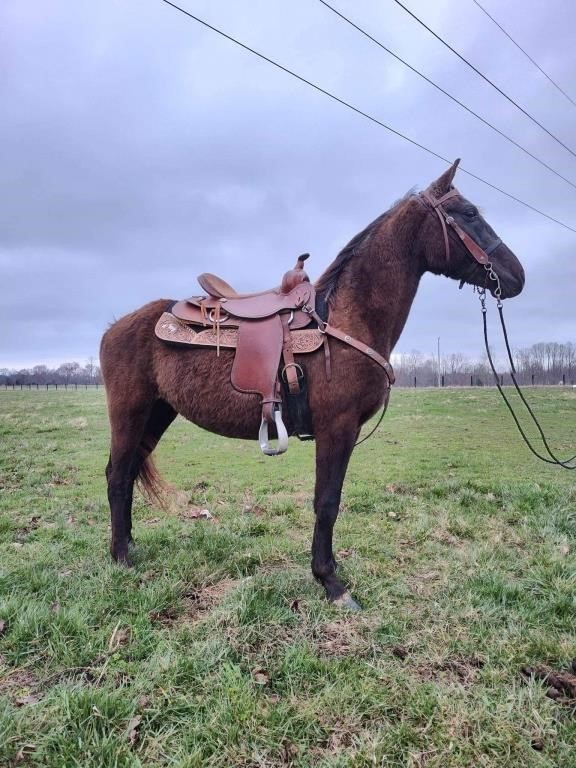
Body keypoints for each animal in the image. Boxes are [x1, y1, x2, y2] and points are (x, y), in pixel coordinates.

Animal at [101, 159, 524, 608]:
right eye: (470, 213)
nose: (518, 276)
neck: (346, 317)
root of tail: (116, 326)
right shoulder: (337, 428)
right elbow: (327, 502)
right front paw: (331, 583)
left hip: (158, 413)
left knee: (128, 472)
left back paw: (129, 545)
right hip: (130, 412)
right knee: (117, 475)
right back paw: (122, 558)